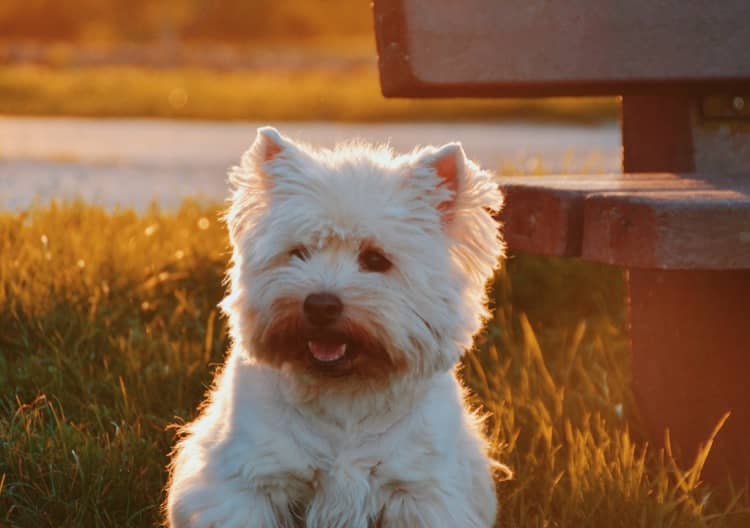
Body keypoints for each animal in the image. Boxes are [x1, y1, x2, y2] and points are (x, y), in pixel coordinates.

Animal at [164, 128, 506, 528]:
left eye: (376, 259)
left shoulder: (421, 491)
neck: (344, 396)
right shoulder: (250, 482)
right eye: (298, 252)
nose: (320, 305)